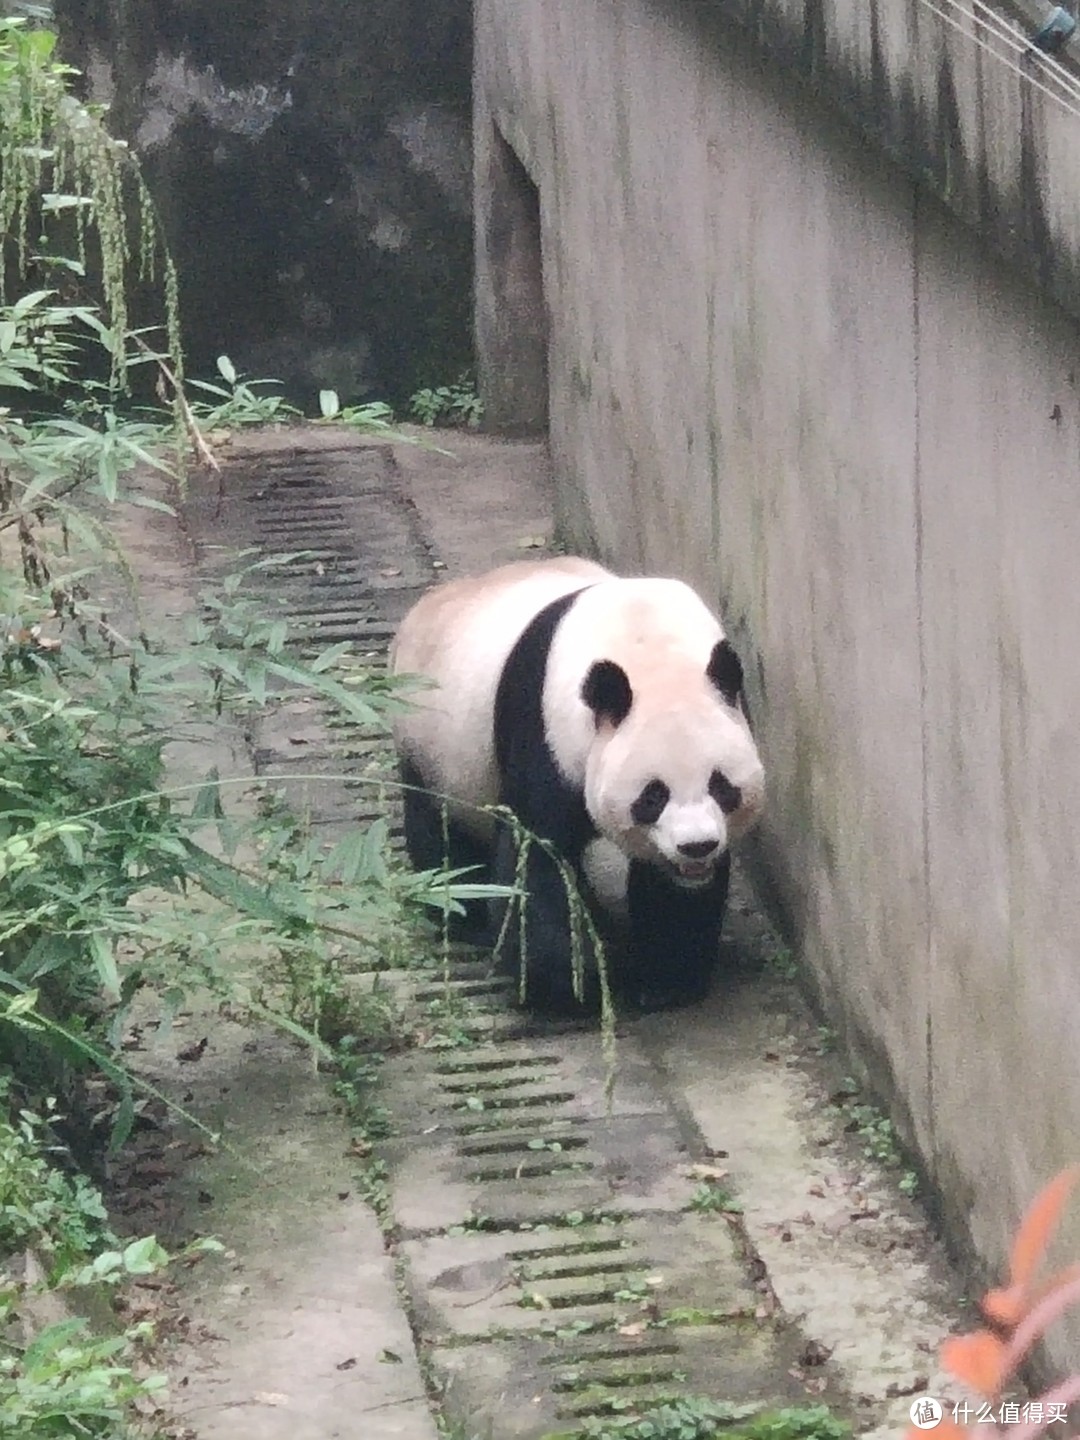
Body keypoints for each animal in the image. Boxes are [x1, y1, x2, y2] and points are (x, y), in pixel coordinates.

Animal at [385, 550, 766, 1013]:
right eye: (652, 797)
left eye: (722, 786)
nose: (697, 846)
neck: (650, 649)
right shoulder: (545, 729)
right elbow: (537, 859)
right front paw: (579, 983)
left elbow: (669, 889)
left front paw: (665, 978)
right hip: (430, 744)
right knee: (441, 832)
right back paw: (464, 913)